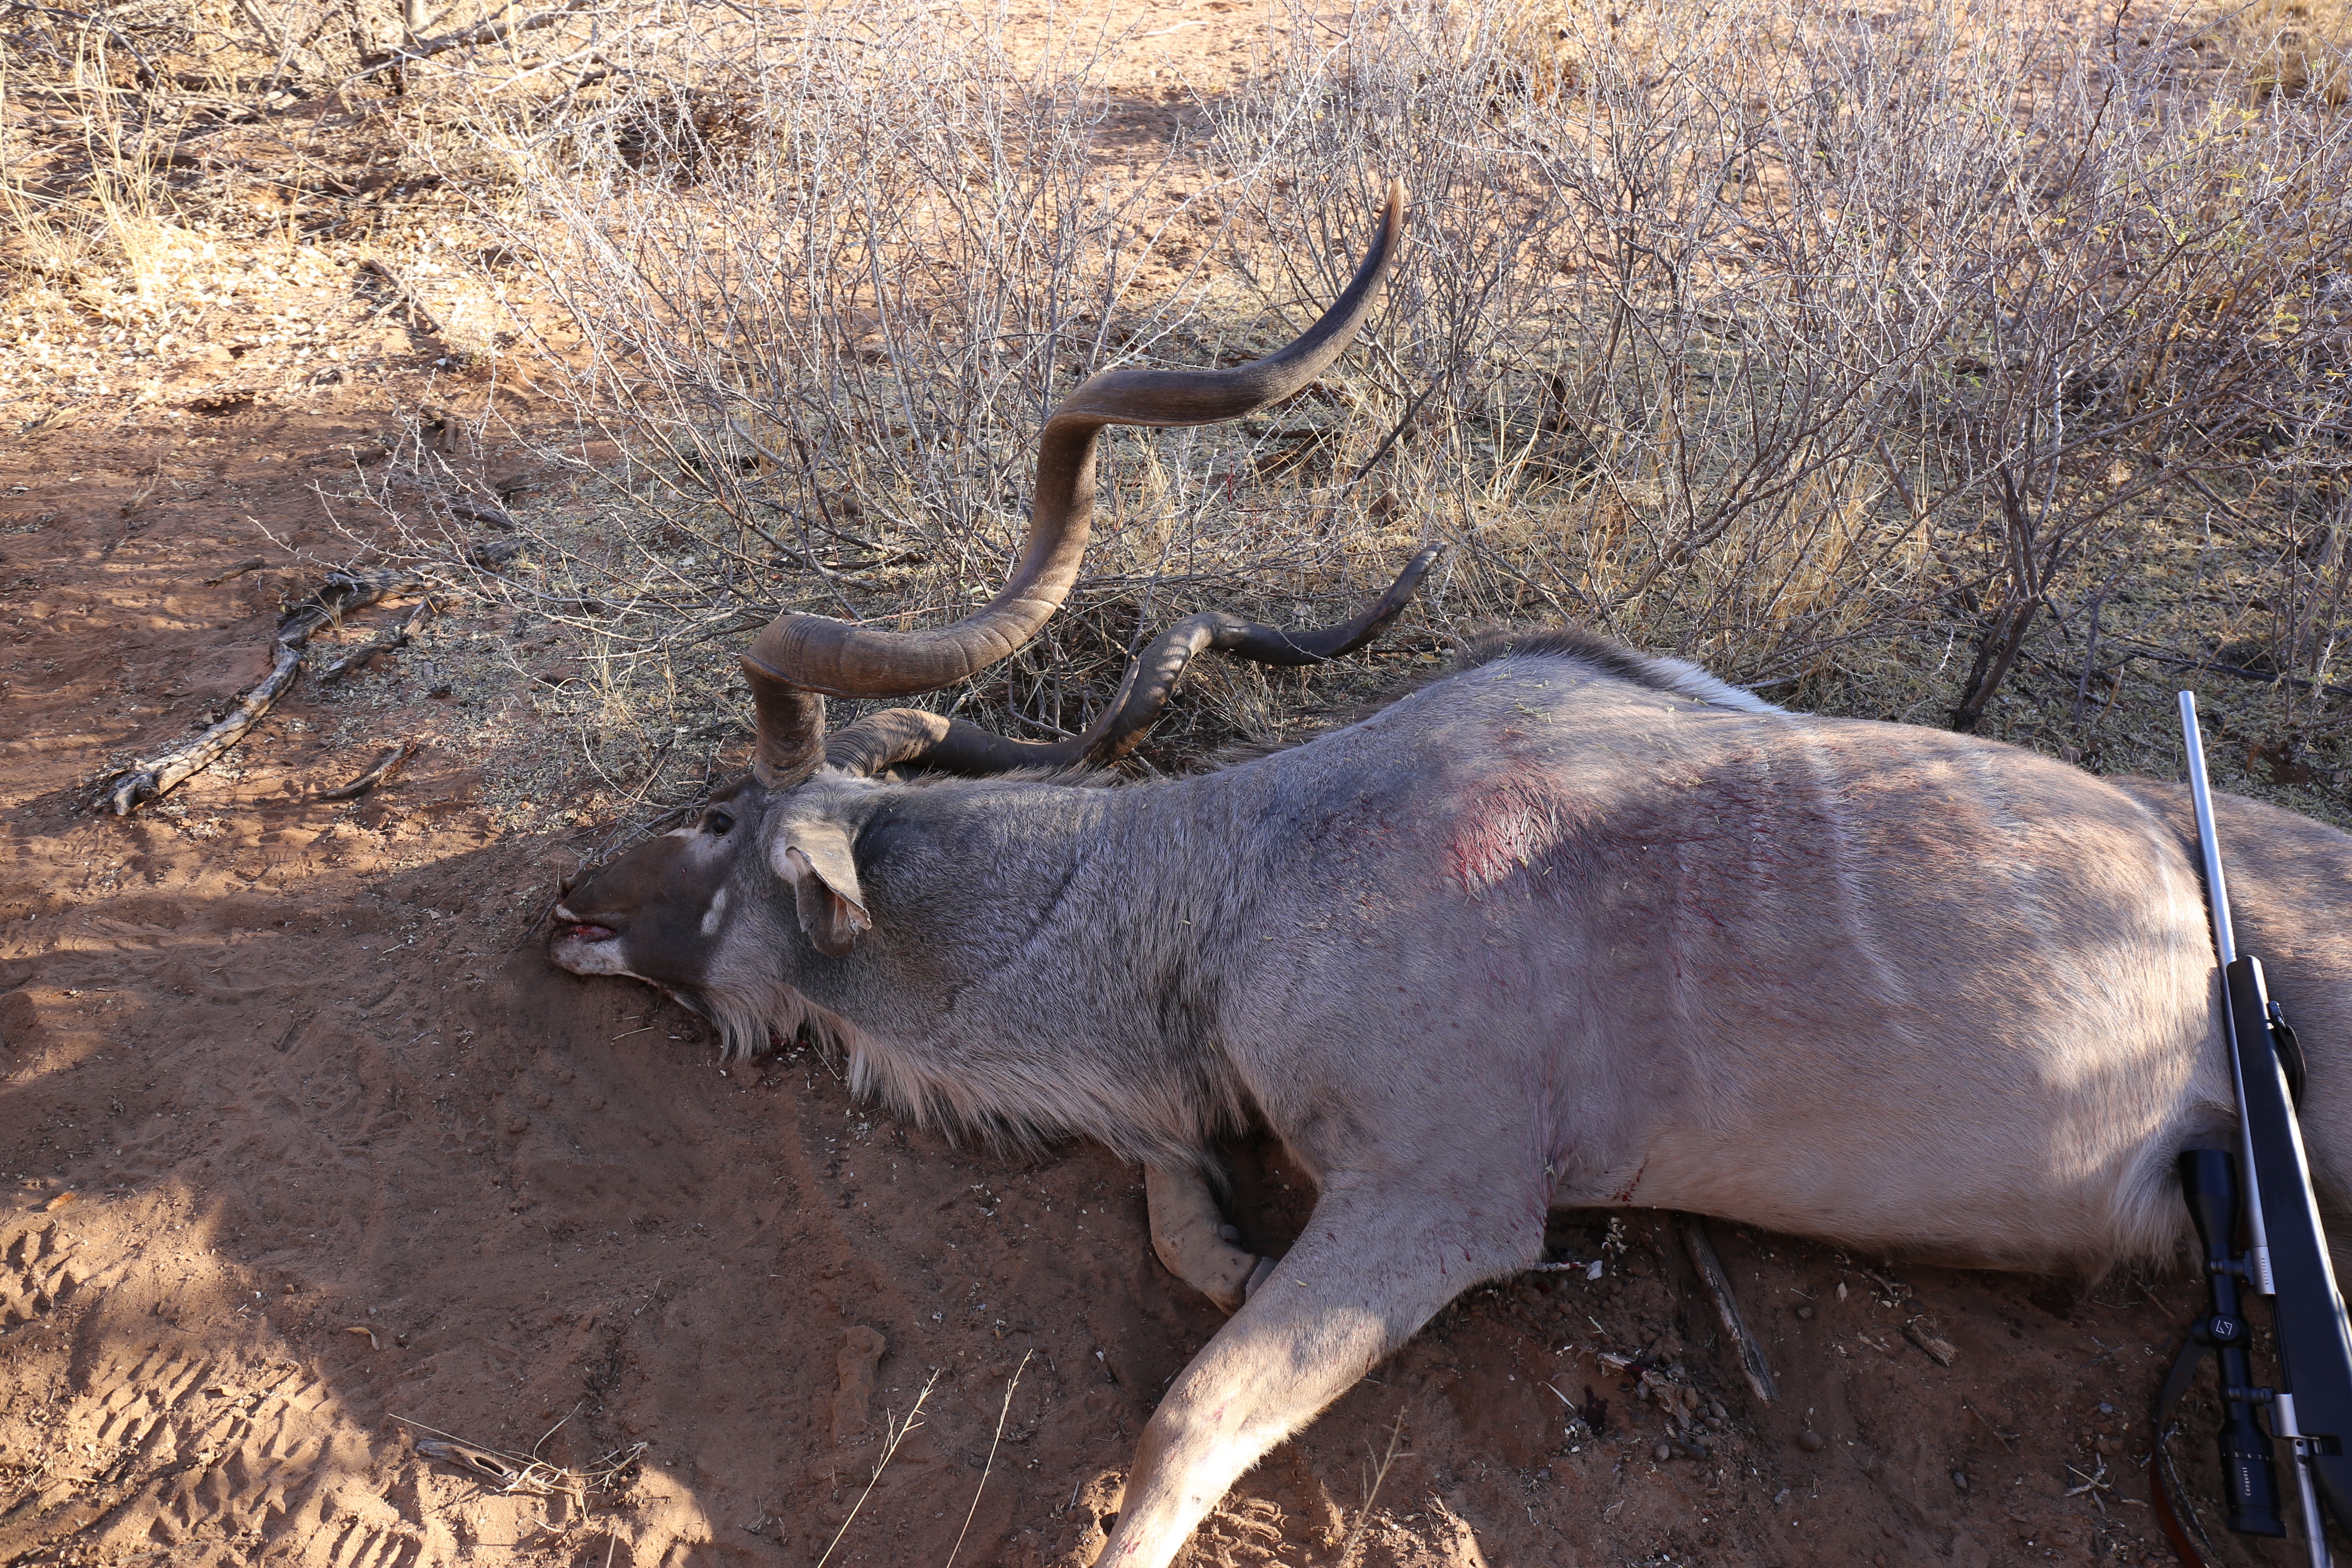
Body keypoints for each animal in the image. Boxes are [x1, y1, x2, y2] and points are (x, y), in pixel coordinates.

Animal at [555, 187, 2352, 1568]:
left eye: (716, 816)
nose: (566, 900)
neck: (1234, 880)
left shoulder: (1444, 1195)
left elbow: (1181, 1425)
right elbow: (1185, 1233)